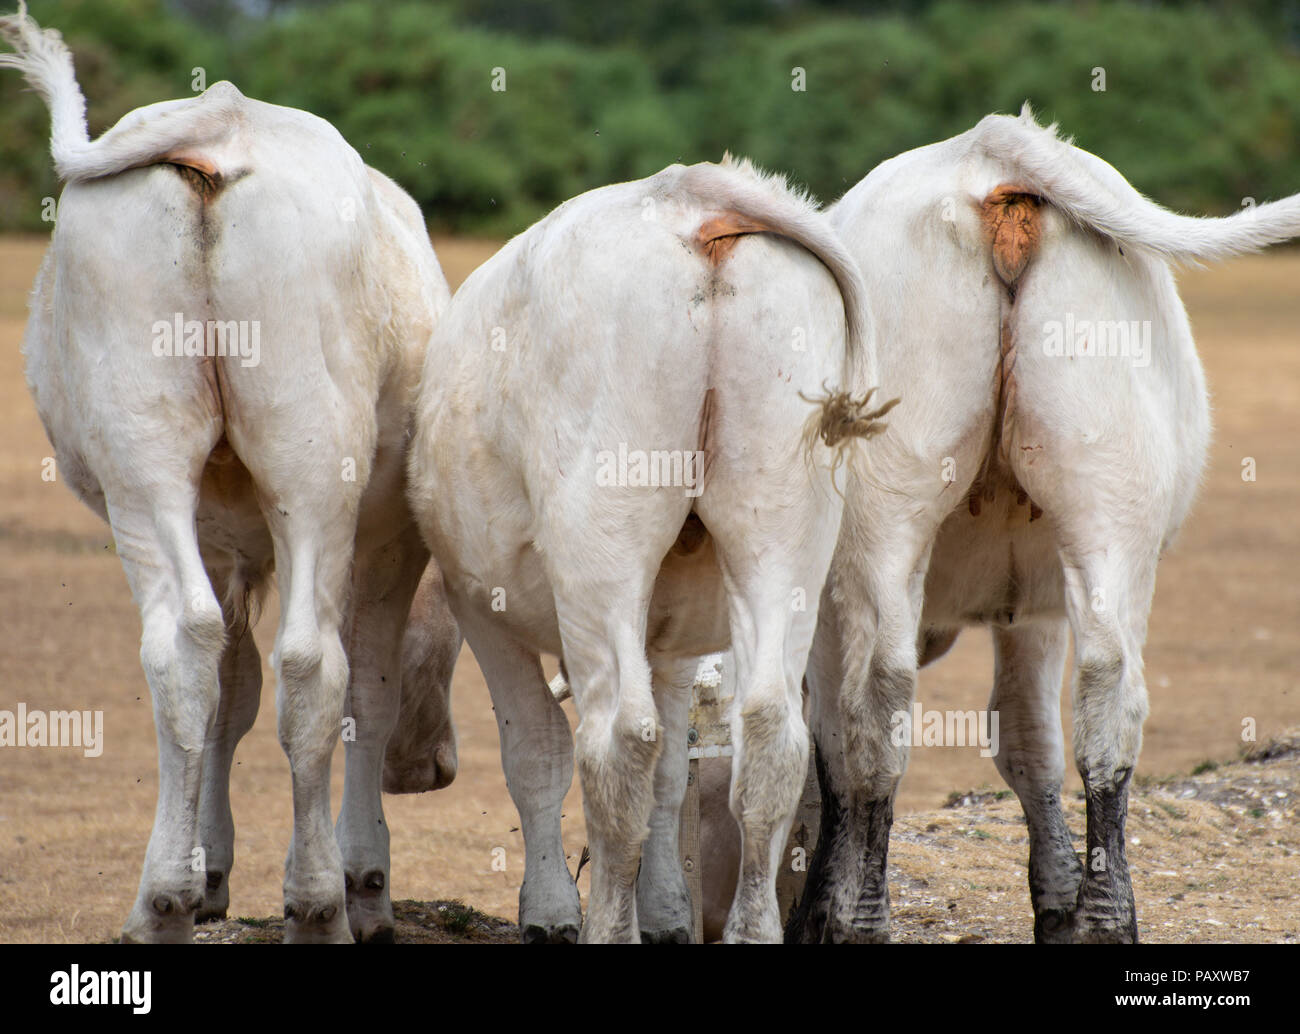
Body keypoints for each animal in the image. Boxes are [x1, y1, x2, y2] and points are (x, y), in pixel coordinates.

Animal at [0, 3, 457, 943]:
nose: (439, 768)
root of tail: (225, 117)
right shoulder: (385, 541)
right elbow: (348, 692)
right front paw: (361, 880)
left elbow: (231, 694)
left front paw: (211, 868)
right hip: (303, 463)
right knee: (304, 663)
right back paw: (311, 901)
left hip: (150, 467)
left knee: (196, 647)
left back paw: (171, 901)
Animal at [406, 156, 894, 942]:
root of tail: (689, 194)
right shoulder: (671, 639)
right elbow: (673, 771)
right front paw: (667, 911)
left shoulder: (479, 605)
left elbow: (538, 752)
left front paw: (551, 913)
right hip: (781, 532)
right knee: (769, 734)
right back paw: (752, 928)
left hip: (600, 547)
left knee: (618, 741)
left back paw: (607, 927)